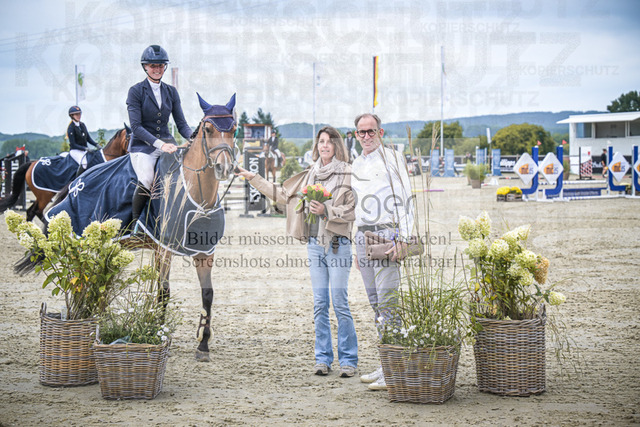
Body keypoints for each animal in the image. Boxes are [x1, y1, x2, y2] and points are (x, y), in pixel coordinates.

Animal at [0, 127, 130, 223]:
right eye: (129, 138)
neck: (108, 157)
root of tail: (32, 163)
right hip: (44, 195)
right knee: (36, 211)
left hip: (41, 196)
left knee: (31, 211)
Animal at [17, 94, 237, 363]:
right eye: (208, 129)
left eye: (234, 129)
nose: (224, 168)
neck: (194, 192)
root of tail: (77, 181)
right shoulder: (163, 250)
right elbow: (163, 292)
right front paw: (158, 332)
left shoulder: (205, 251)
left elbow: (207, 294)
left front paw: (203, 345)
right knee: (83, 276)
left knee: (98, 280)